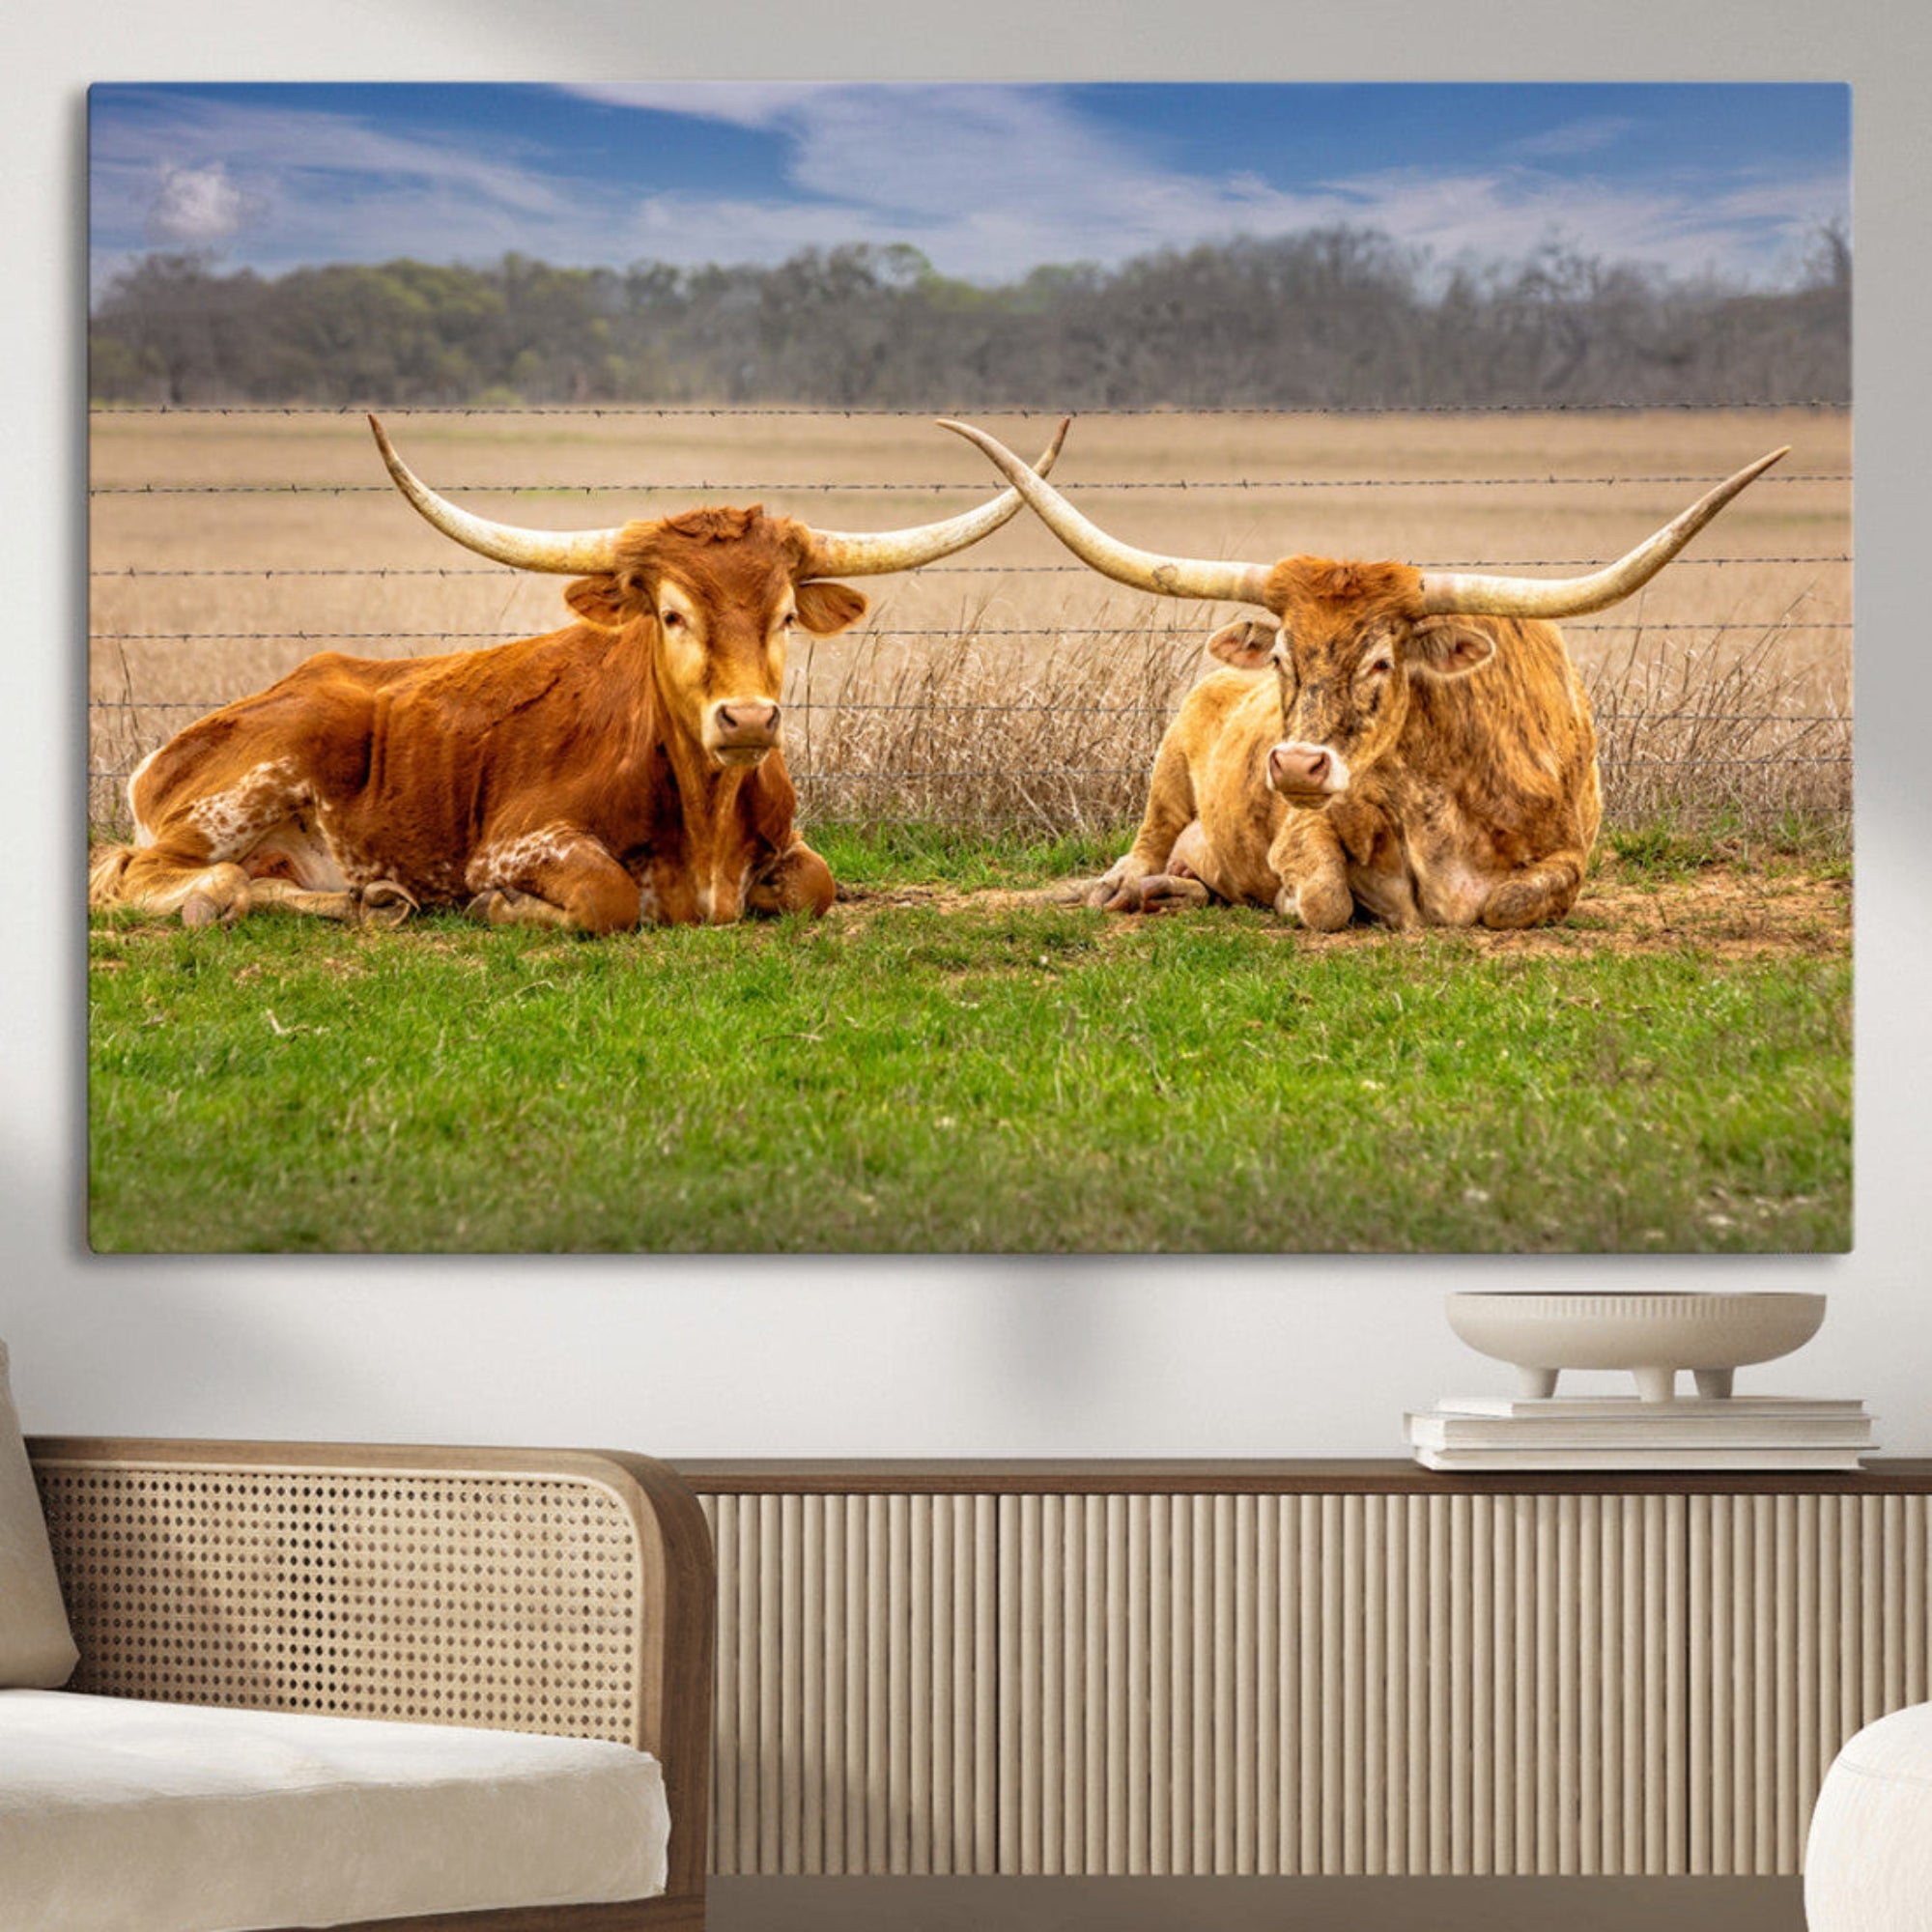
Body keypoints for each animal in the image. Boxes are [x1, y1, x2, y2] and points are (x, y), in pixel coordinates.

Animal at [89, 415, 1068, 933]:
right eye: (670, 614)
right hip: (251, 781)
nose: (748, 721)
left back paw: (370, 900)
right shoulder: (515, 841)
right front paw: (498, 911)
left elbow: (812, 886)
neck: (705, 820)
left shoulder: (791, 851)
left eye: (787, 615)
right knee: (141, 871)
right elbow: (605, 897)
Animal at [940, 419, 1786, 931]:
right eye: (1282, 656)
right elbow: (1324, 899)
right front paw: (1289, 899)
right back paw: (1133, 888)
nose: (1294, 764)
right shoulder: (1302, 827)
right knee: (1142, 849)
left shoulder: (1569, 858)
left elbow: (1509, 902)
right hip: (1166, 775)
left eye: (1381, 660)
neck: (1445, 794)